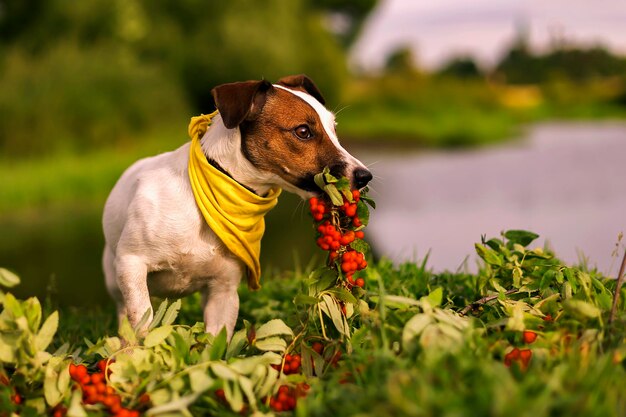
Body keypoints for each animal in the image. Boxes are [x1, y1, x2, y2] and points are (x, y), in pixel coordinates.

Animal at [102, 73, 370, 336]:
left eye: (334, 129)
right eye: (303, 131)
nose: (365, 176)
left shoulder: (224, 290)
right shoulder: (131, 265)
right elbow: (142, 326)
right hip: (114, 279)